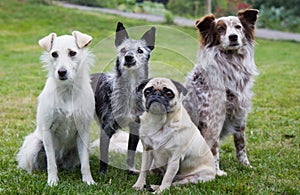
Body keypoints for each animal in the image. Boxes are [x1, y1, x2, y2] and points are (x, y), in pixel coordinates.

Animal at [16, 31, 95, 187]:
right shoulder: (48, 130)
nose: (61, 72)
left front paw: (88, 181)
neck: (67, 91)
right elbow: (51, 162)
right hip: (35, 145)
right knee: (35, 165)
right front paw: (52, 181)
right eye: (54, 54)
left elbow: (85, 163)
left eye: (72, 53)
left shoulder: (83, 130)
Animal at [184, 9, 258, 176]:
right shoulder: (211, 119)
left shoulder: (240, 115)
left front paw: (245, 165)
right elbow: (213, 149)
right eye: (220, 29)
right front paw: (216, 172)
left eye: (238, 27)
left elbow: (241, 144)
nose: (233, 37)